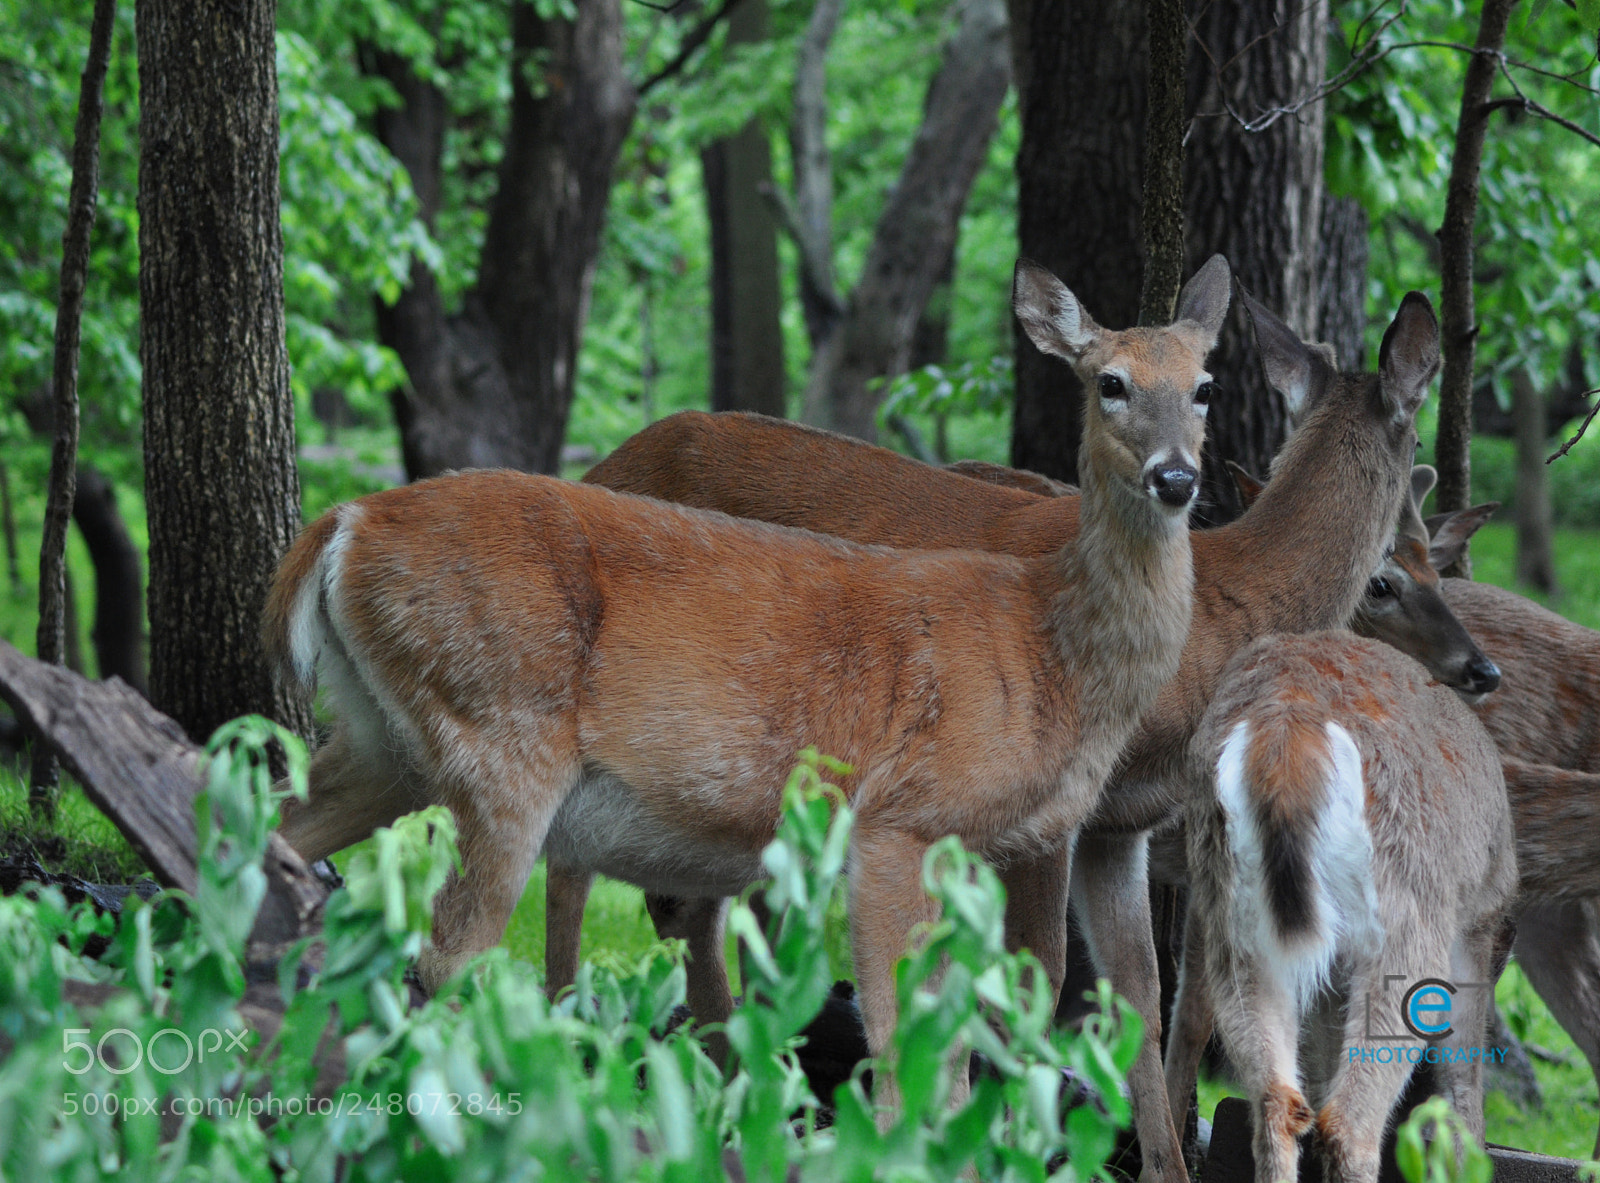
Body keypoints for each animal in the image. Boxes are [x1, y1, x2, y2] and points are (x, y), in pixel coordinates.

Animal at [264, 255, 1231, 1118]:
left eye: (1204, 386)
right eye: (1110, 382)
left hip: (383, 742)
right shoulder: (898, 817)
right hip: (498, 735)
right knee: (441, 959)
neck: (1051, 647)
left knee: (276, 845)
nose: (1175, 477)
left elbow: (959, 1049)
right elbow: (902, 1052)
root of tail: (345, 520)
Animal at [567, 287, 1442, 1183]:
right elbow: (1039, 978)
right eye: (1418, 443)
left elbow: (1142, 992)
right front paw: (1008, 1140)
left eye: (1205, 388)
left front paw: (1158, 1162)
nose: (1427, 537)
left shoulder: (1119, 819)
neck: (1218, 610)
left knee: (699, 908)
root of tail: (600, 465)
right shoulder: (1045, 807)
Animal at [1171, 632, 1517, 1183]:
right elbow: (1463, 1078)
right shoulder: (1475, 930)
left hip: (1232, 914)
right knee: (1348, 1121)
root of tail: (1285, 731)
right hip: (1405, 914)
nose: (1486, 672)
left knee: (1280, 1099)